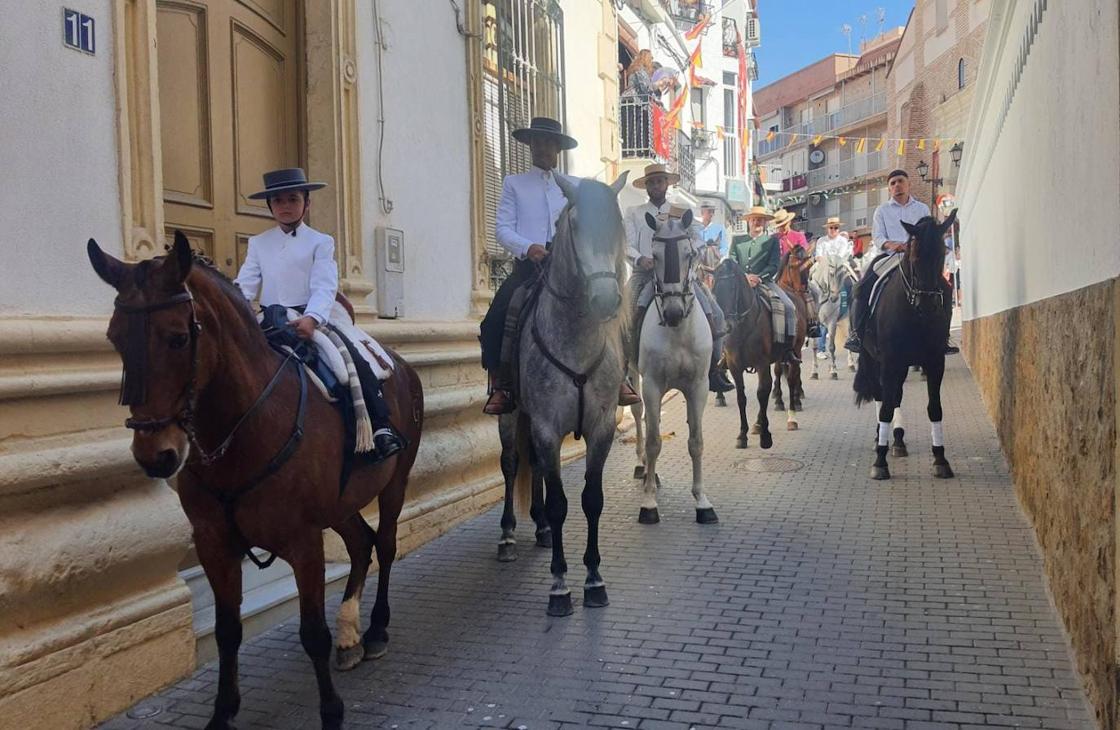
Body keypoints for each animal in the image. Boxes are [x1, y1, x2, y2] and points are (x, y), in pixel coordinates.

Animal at [88, 234, 423, 730]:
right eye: (114, 337)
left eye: (178, 337)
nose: (156, 455)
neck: (244, 428)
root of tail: (398, 363)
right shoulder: (214, 542)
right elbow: (228, 630)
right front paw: (223, 712)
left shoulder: (303, 540)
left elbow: (311, 632)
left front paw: (331, 711)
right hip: (340, 505)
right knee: (361, 543)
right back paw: (350, 632)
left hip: (394, 482)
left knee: (383, 543)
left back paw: (376, 627)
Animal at [512, 172, 631, 618]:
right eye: (576, 226)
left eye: (616, 224)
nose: (606, 300)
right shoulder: (547, 429)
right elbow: (561, 503)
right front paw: (560, 585)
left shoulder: (602, 428)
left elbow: (591, 500)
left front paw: (594, 580)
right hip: (510, 416)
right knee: (511, 464)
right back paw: (509, 535)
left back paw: (541, 526)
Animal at [631, 209, 716, 523]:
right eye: (654, 255)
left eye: (689, 254)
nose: (673, 313)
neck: (679, 333)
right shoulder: (653, 385)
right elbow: (655, 441)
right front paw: (648, 503)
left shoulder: (699, 386)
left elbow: (697, 441)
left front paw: (702, 501)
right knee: (640, 416)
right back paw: (644, 470)